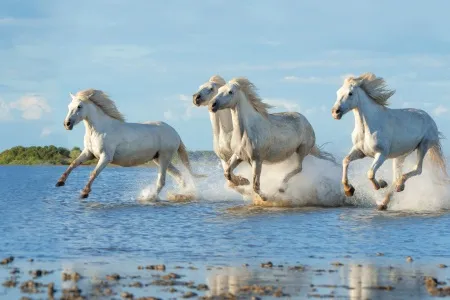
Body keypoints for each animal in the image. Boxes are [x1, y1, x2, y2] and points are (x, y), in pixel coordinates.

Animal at [55, 89, 207, 199]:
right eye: (69, 106)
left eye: (79, 106)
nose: (67, 124)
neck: (100, 129)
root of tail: (175, 133)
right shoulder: (89, 153)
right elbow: (73, 164)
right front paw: (60, 182)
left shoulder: (105, 157)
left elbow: (94, 172)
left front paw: (84, 193)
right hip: (159, 159)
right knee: (179, 177)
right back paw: (182, 194)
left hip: (164, 157)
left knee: (162, 181)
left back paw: (150, 197)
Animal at [330, 72, 446, 210]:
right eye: (338, 92)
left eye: (350, 93)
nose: (335, 112)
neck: (368, 126)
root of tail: (430, 119)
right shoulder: (360, 151)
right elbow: (346, 160)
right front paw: (349, 190)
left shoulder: (381, 154)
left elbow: (370, 173)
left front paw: (380, 184)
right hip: (401, 155)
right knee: (397, 175)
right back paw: (385, 201)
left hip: (423, 145)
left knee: (417, 169)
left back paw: (399, 186)